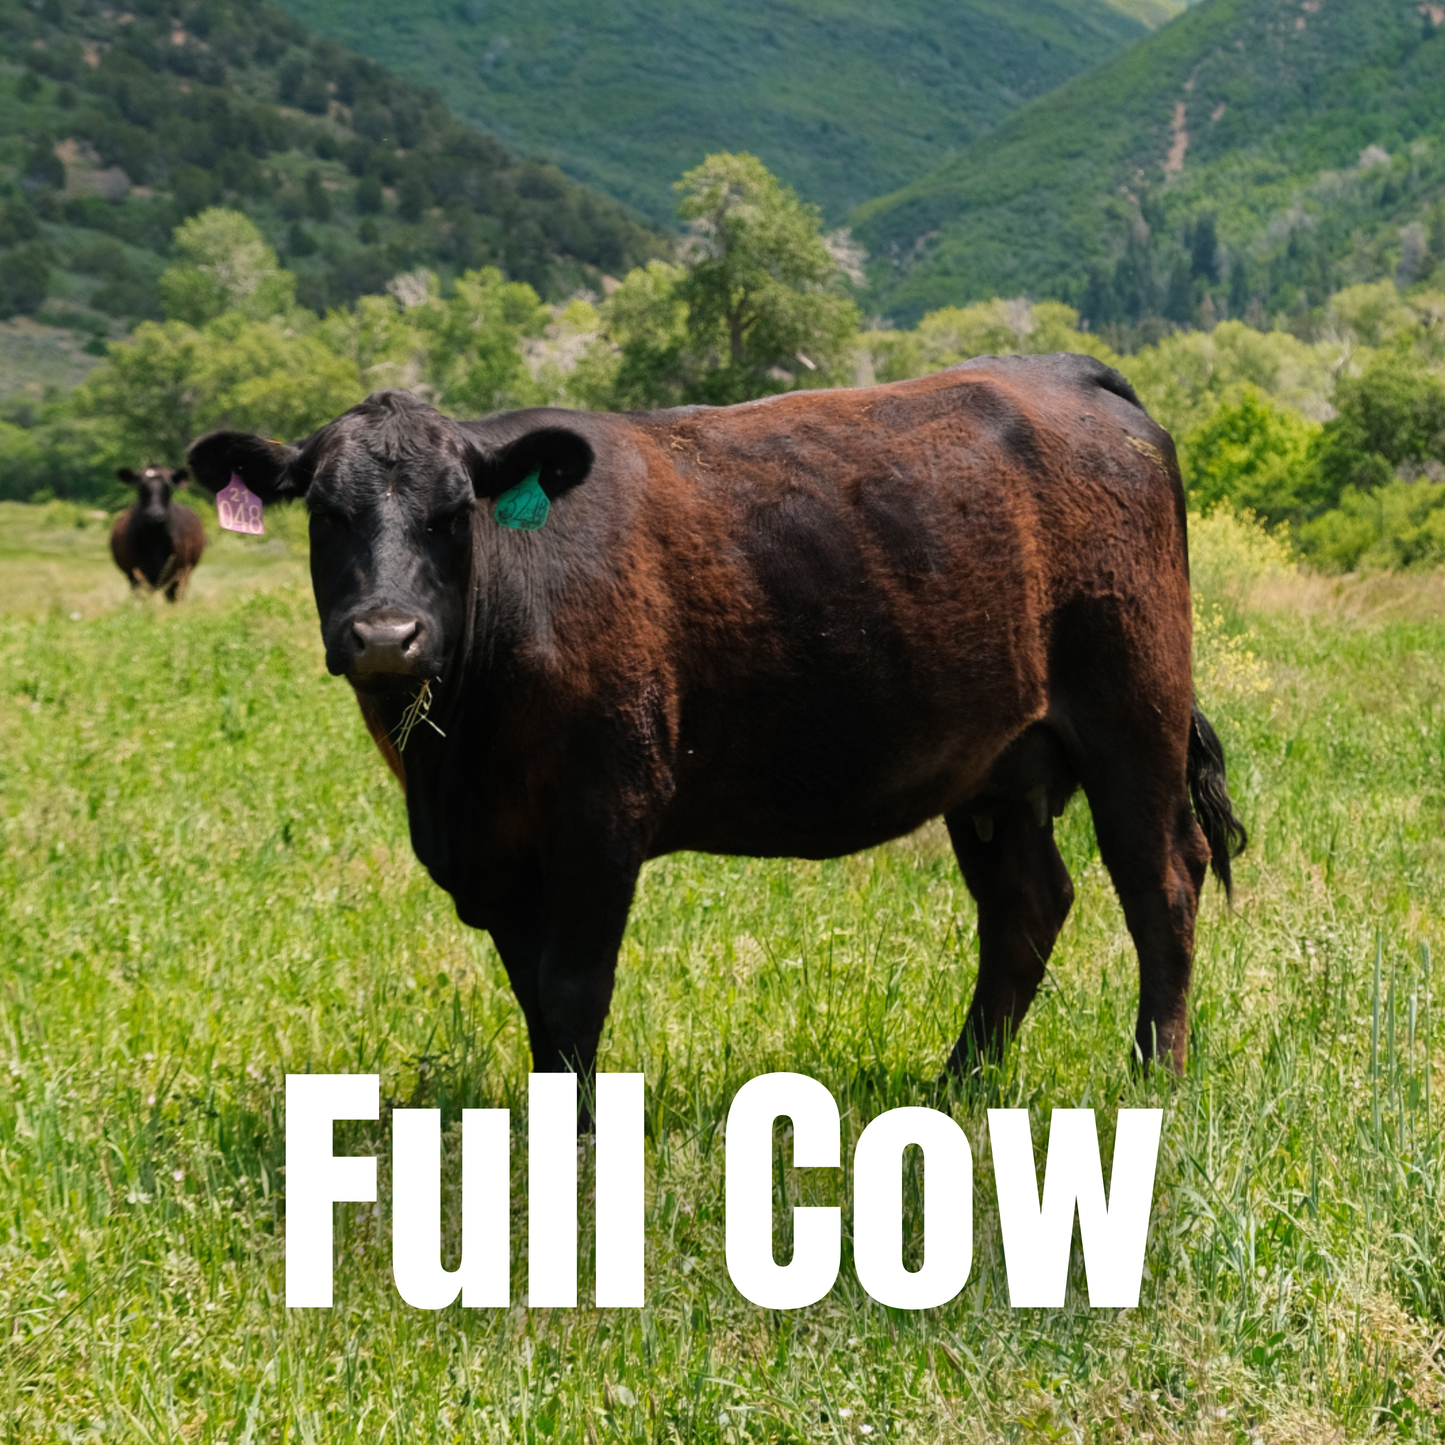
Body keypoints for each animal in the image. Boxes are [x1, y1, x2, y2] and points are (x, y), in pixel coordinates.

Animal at [110, 464, 207, 601]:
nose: (154, 514)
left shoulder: (180, 572)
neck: (154, 537)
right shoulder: (135, 575)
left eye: (168, 486)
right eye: (140, 486)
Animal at [188, 355, 1246, 1084]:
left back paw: (1154, 1078)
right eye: (325, 512)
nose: (385, 634)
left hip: (1131, 711)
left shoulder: (603, 814)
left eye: (454, 513)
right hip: (995, 766)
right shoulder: (498, 853)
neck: (456, 764)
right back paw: (960, 1084)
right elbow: (534, 997)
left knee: (1161, 881)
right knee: (1025, 905)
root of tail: (1063, 370)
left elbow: (573, 991)